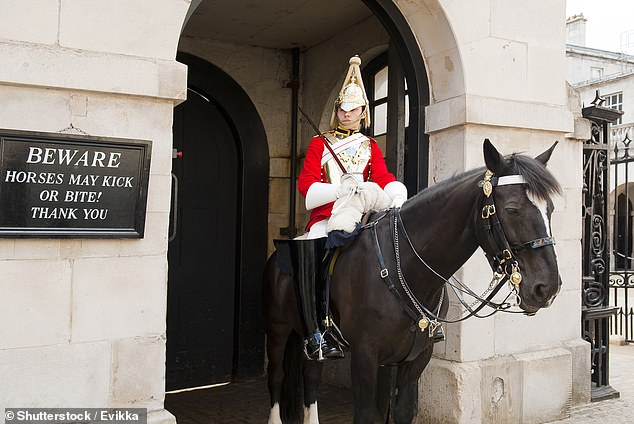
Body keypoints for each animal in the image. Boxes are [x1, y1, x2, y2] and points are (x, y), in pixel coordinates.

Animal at [262, 140, 556, 424]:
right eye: (512, 209)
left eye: (550, 209)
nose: (547, 288)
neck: (405, 267)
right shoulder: (365, 356)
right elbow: (365, 414)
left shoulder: (417, 358)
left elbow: (403, 410)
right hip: (277, 329)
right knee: (276, 377)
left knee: (311, 379)